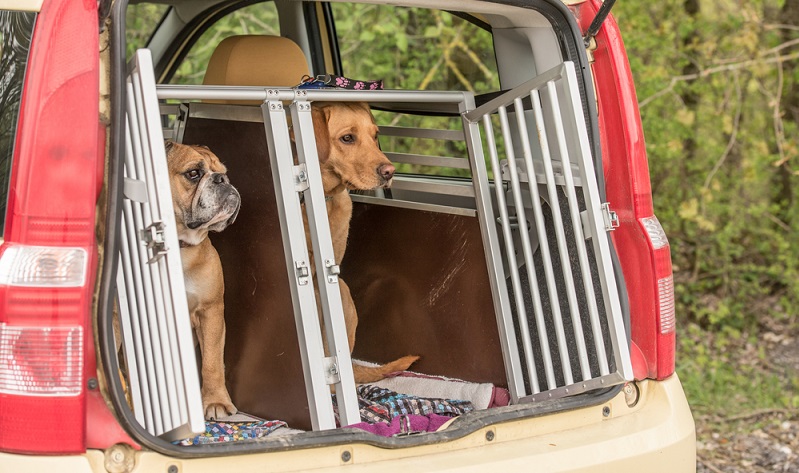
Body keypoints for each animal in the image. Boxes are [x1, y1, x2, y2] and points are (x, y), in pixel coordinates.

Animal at [167, 139, 242, 416]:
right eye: (193, 173)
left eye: (224, 171)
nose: (222, 180)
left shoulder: (211, 312)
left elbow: (211, 362)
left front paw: (215, 401)